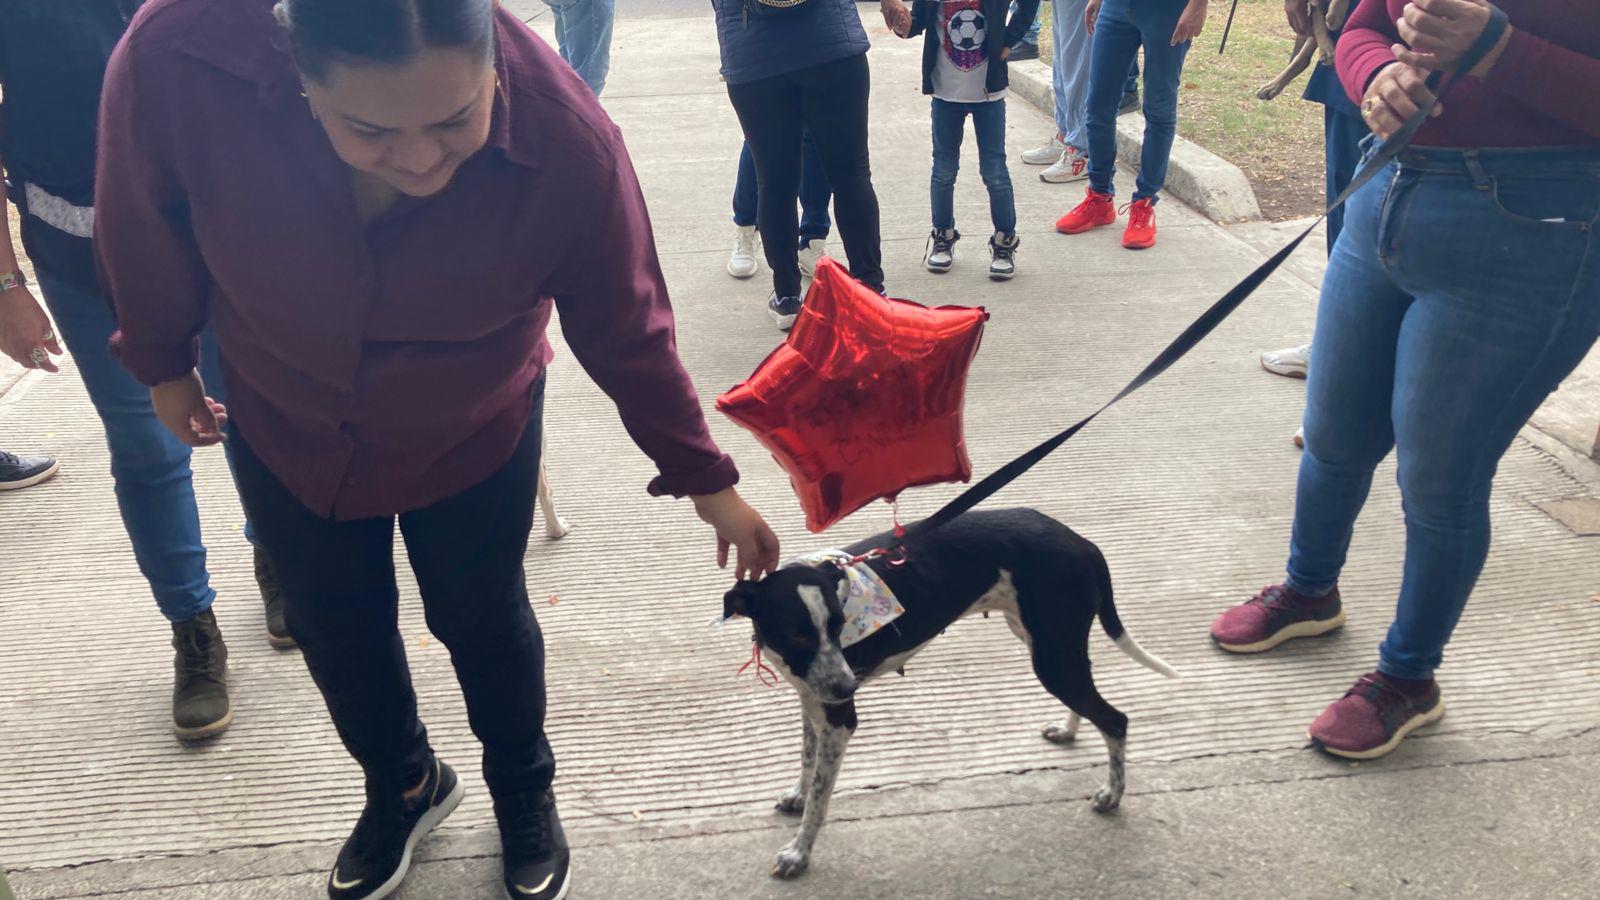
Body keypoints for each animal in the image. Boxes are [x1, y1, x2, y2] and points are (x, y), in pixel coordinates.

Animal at [726, 512, 1177, 877]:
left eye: (839, 625)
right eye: (799, 633)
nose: (850, 686)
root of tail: (1082, 542)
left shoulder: (838, 718)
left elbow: (821, 797)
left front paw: (799, 854)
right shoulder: (812, 696)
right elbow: (807, 759)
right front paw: (798, 796)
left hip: (1052, 655)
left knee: (1115, 719)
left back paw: (1112, 794)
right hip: (1050, 645)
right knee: (1090, 699)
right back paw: (1069, 732)